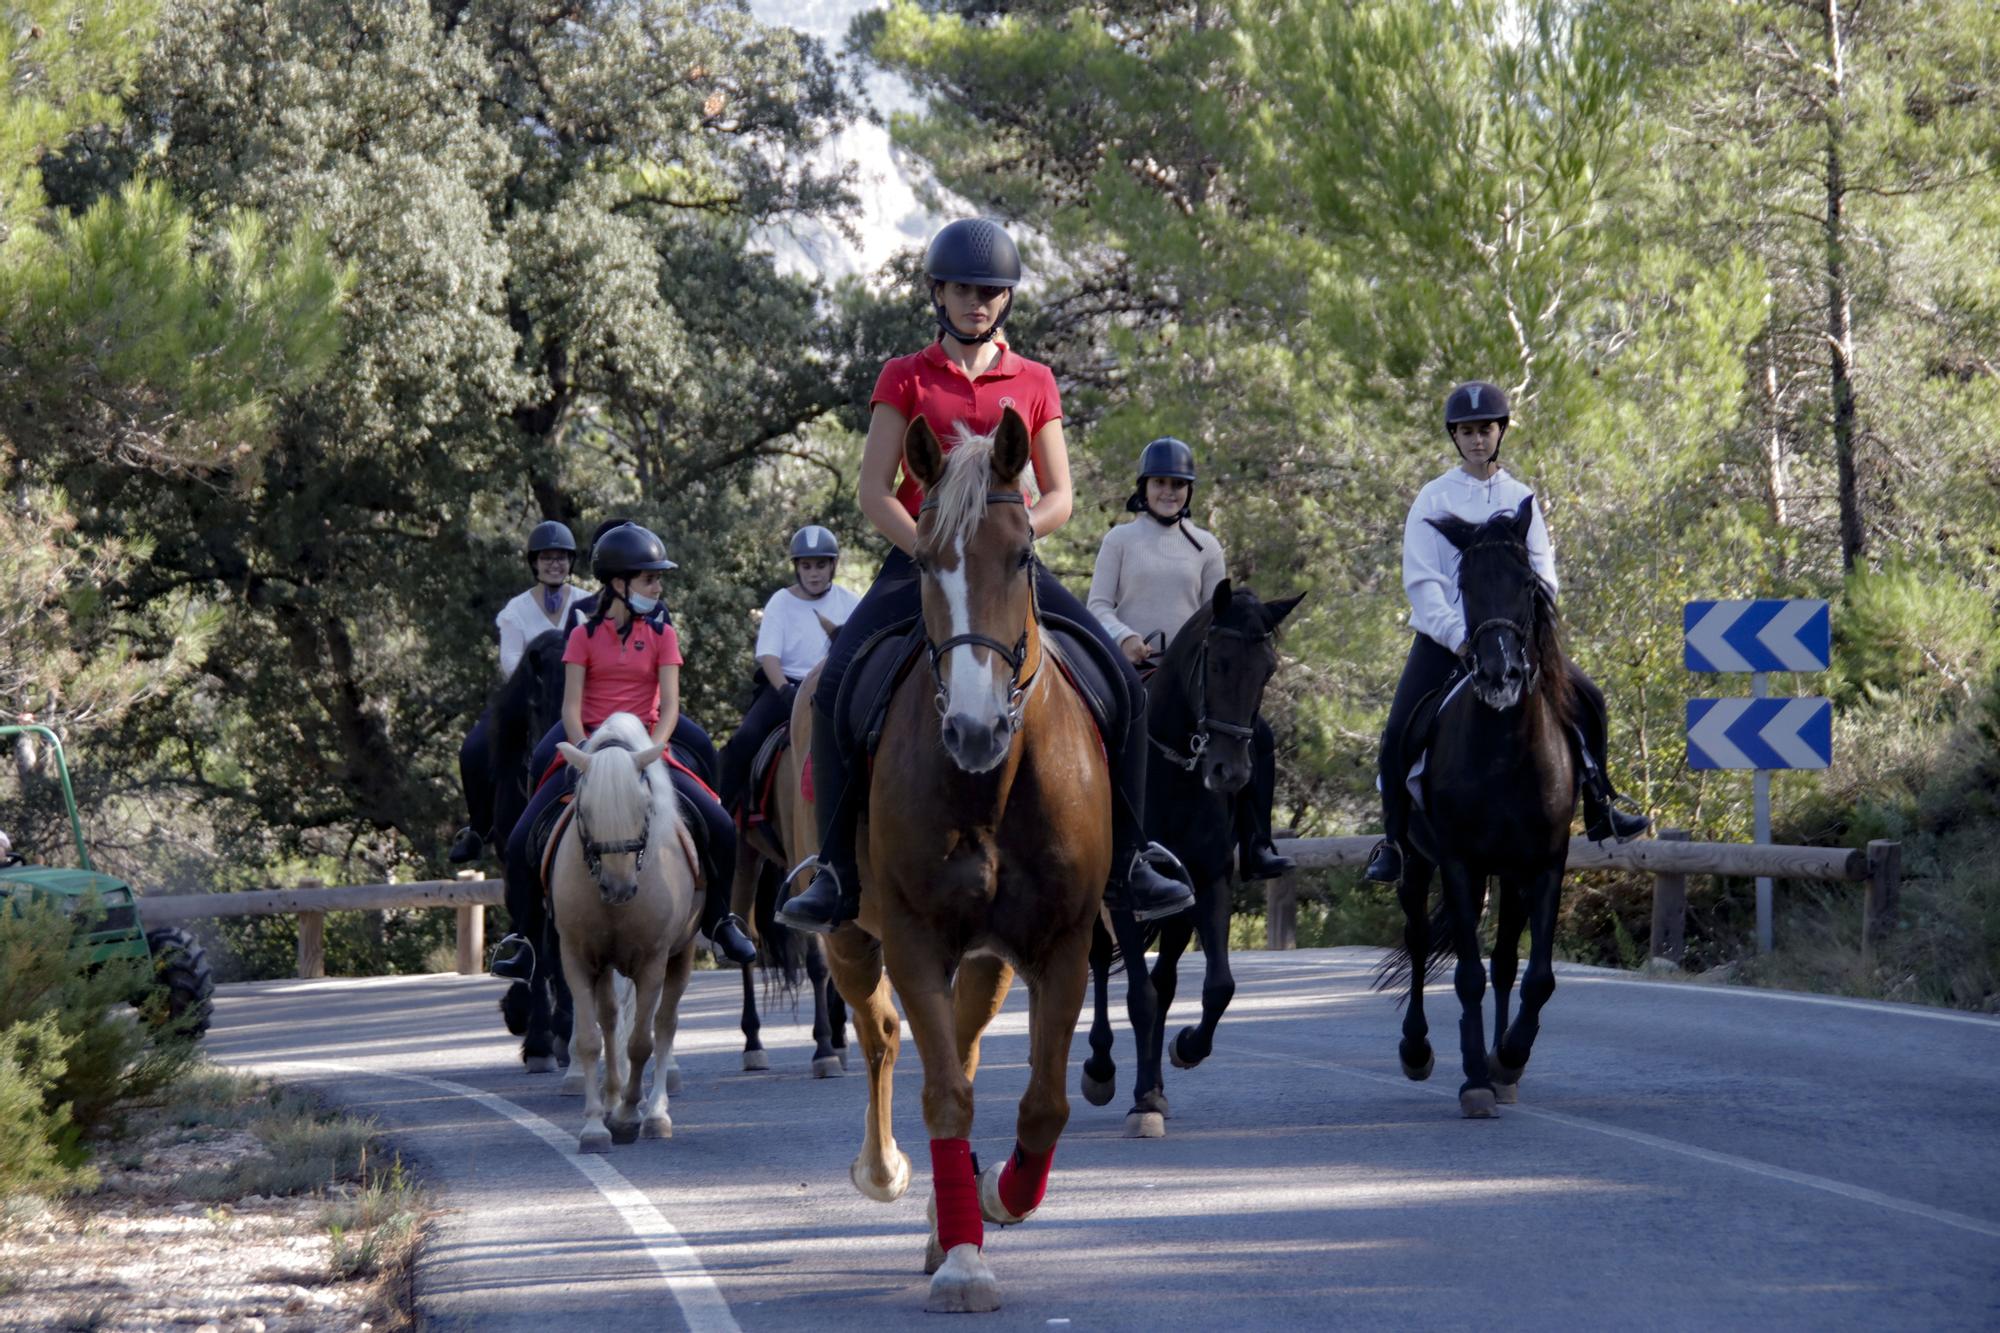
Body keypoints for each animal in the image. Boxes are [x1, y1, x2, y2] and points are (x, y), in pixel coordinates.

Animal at [548, 712, 704, 1144]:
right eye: (583, 809)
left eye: (645, 805)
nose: (618, 888)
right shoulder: (578, 959)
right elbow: (589, 1039)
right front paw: (595, 1124)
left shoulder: (652, 962)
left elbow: (641, 1043)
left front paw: (630, 1115)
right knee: (610, 1020)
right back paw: (613, 1099)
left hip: (680, 956)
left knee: (665, 1025)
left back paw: (656, 1114)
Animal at [804, 408, 1120, 1304]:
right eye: (922, 560)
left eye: (1021, 555)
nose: (974, 730)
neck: (991, 784)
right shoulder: (913, 937)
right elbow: (945, 1093)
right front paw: (965, 1262)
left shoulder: (1060, 945)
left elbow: (1043, 1104)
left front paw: (994, 1198)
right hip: (850, 935)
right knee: (882, 1033)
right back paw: (892, 1180)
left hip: (988, 959)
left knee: (969, 1045)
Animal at [1088, 580, 1304, 1128]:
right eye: (1218, 663)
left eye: (1267, 669)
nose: (1230, 773)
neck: (1173, 772)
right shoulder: (1125, 894)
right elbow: (1139, 995)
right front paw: (1142, 1097)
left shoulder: (1207, 883)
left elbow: (1217, 987)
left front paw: (1185, 1049)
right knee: (1100, 962)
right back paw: (1100, 1069)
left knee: (1165, 982)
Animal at [1376, 492, 1576, 1112]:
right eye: (1463, 582)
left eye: (1527, 580)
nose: (1499, 675)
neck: (1506, 753)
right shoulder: (1460, 863)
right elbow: (1465, 974)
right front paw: (1472, 1078)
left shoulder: (1544, 864)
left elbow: (1536, 975)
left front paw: (1508, 1058)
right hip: (1417, 863)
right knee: (1419, 941)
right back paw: (1417, 1050)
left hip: (1508, 874)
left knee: (1506, 962)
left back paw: (1502, 1063)